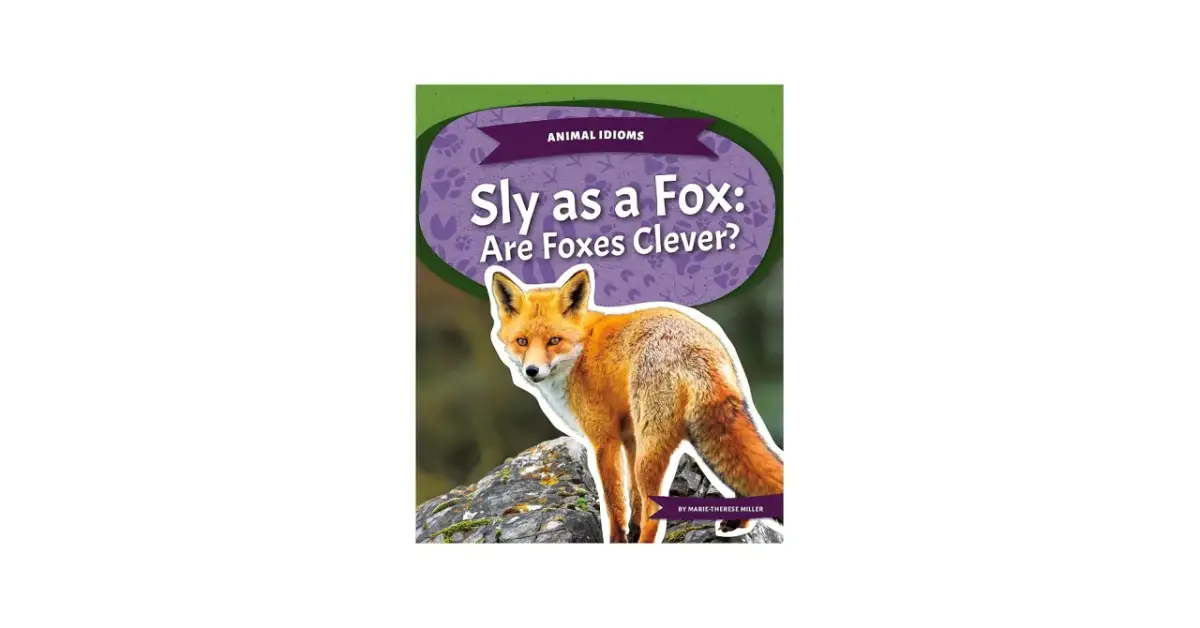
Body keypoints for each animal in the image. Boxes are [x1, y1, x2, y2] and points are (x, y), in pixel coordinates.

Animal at [485, 263, 784, 543]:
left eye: (554, 341)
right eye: (522, 341)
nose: (531, 371)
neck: (580, 352)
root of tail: (698, 349)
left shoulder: (604, 439)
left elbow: (614, 500)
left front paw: (618, 539)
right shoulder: (629, 436)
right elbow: (633, 498)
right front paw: (633, 527)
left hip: (650, 453)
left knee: (656, 512)